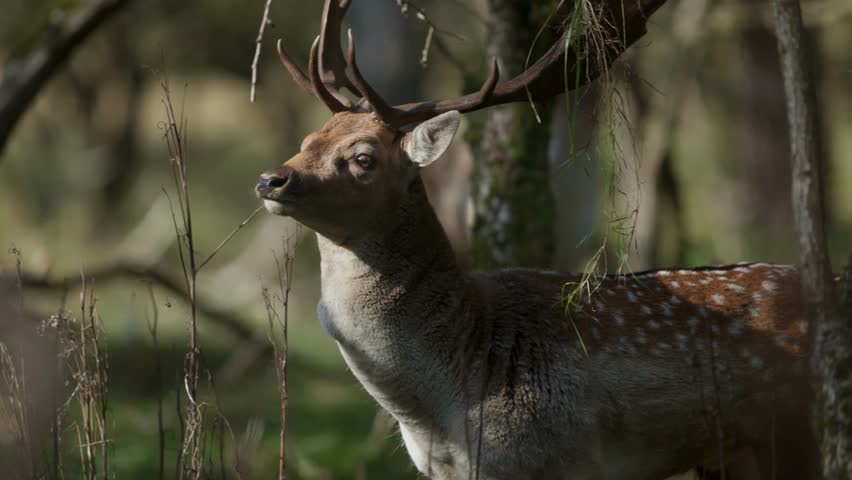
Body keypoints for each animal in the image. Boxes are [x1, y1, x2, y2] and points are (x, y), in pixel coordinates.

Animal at [255, 1, 822, 478]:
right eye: (308, 140)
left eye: (363, 158)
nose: (270, 180)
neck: (444, 412)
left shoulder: (560, 459)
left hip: (793, 435)